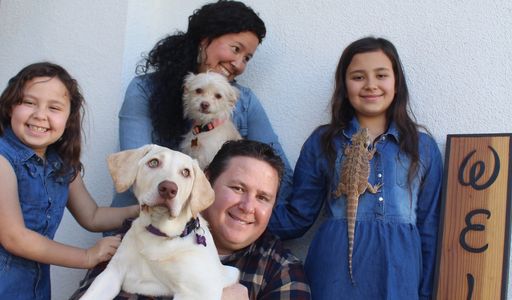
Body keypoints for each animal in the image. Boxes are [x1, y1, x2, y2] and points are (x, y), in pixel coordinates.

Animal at [80, 144, 240, 298]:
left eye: (186, 172)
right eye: (154, 162)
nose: (168, 189)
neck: (159, 234)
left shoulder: (197, 291)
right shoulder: (112, 273)